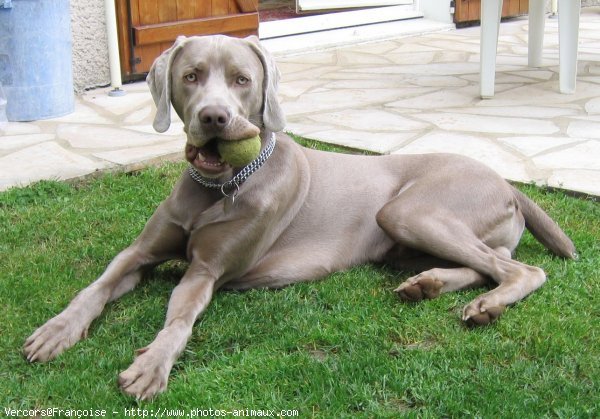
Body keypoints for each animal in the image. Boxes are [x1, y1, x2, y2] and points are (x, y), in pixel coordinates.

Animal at [24, 36, 576, 400]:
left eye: (242, 81)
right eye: (191, 76)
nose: (214, 118)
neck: (218, 187)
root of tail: (507, 181)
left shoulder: (207, 271)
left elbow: (179, 319)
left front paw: (152, 365)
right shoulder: (138, 253)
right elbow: (95, 288)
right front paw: (56, 331)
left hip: (406, 210)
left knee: (521, 268)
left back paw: (486, 304)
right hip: (407, 238)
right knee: (485, 263)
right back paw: (431, 285)